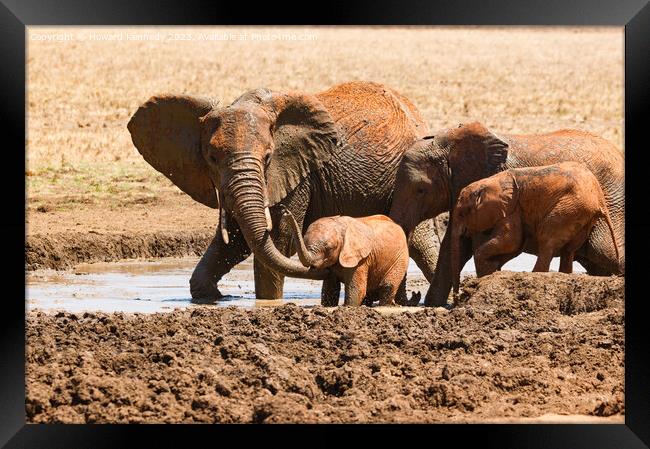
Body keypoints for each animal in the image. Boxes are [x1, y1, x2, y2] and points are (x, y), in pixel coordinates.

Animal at [280, 206, 408, 304]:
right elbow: (330, 289)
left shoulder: (360, 259)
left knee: (388, 288)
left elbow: (356, 291)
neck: (339, 224)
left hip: (400, 258)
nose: (285, 212)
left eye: (329, 248)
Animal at [448, 161, 620, 294]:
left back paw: (534, 274)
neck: (489, 182)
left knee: (547, 240)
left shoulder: (511, 208)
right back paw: (563, 274)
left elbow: (512, 241)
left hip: (570, 207)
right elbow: (514, 246)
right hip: (584, 215)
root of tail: (599, 198)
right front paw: (491, 270)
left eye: (462, 214)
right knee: (569, 249)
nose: (456, 297)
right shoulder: (514, 209)